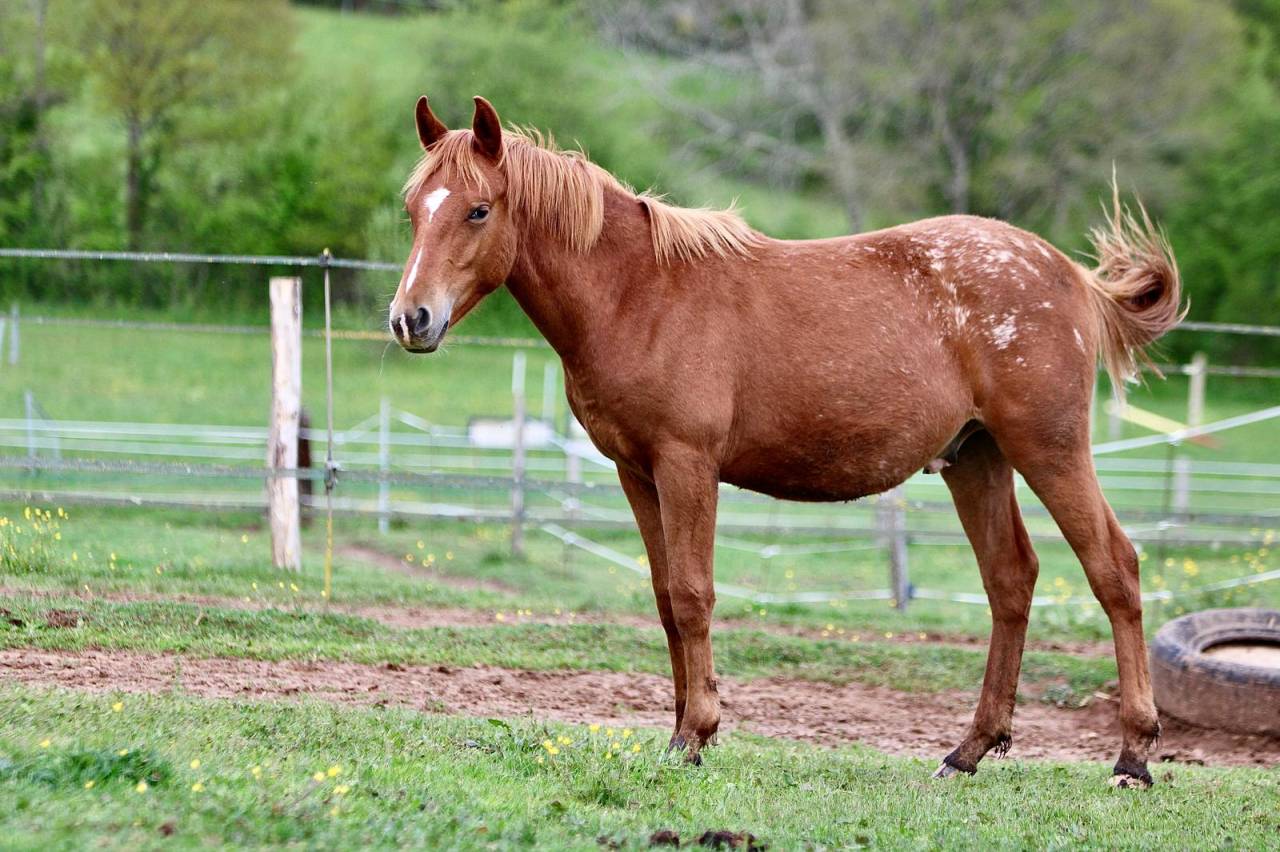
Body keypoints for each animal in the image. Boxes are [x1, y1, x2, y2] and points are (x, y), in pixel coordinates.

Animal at [388, 95, 1184, 788]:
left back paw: (1133, 757)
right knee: (1011, 581)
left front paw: (695, 734)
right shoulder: (636, 474)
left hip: (1049, 450)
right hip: (975, 458)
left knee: (1114, 570)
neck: (639, 293)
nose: (410, 319)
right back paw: (968, 752)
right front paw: (680, 732)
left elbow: (693, 594)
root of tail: (1070, 275)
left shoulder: (686, 466)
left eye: (479, 209)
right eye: (413, 209)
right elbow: (664, 598)